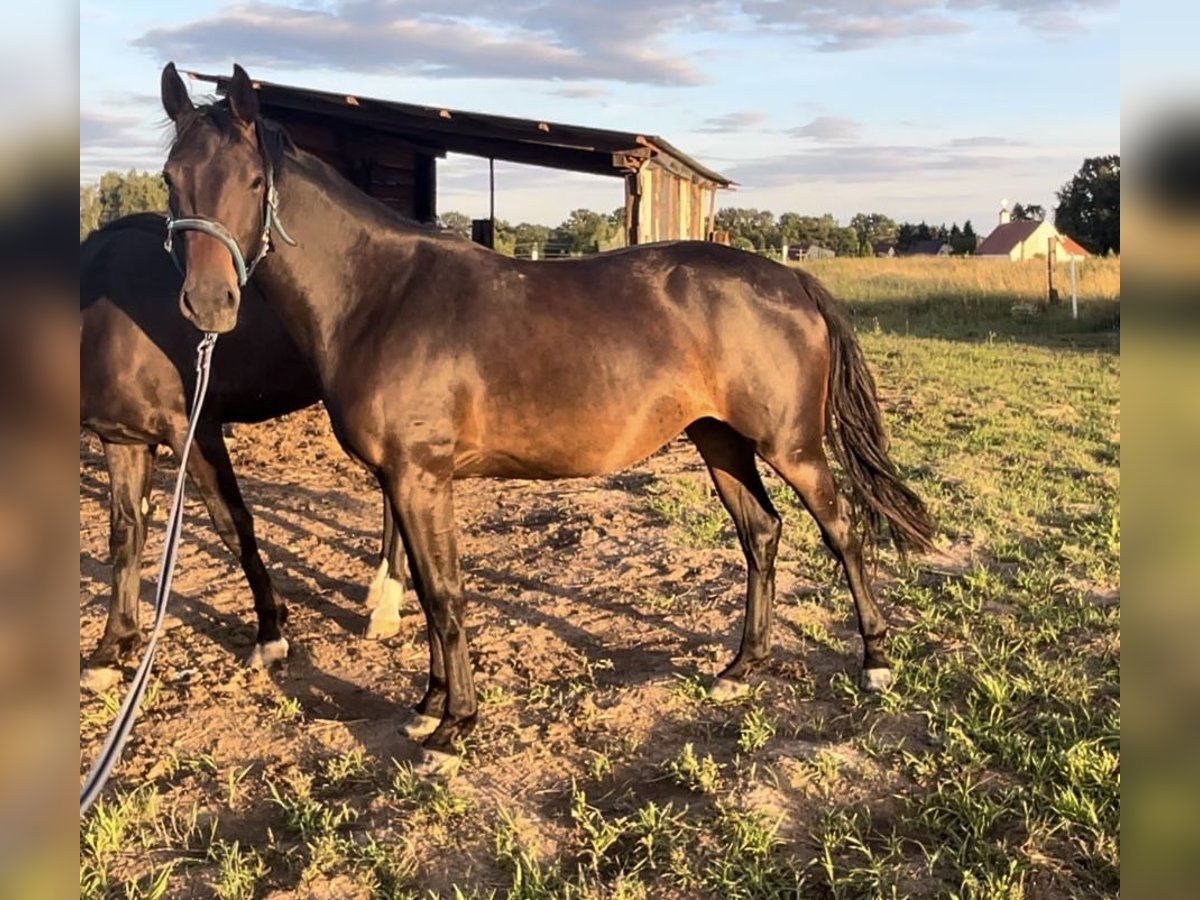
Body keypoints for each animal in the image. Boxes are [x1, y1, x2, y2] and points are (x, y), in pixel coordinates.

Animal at [82, 211, 408, 676]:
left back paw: (387, 605)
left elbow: (233, 525)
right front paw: (112, 648)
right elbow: (126, 534)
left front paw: (270, 632)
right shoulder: (121, 438)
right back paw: (380, 586)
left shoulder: (195, 430)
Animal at [154, 63, 931, 777]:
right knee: (762, 535)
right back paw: (743, 666)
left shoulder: (420, 477)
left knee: (843, 533)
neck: (381, 295)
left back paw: (875, 660)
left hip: (791, 446)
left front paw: (454, 730)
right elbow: (431, 598)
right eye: (169, 179)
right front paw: (427, 707)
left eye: (255, 182)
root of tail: (788, 277)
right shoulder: (404, 482)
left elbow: (445, 596)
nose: (208, 303)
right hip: (720, 441)